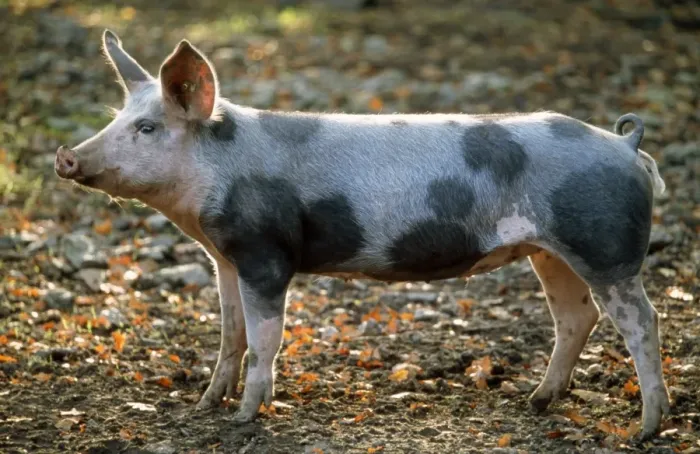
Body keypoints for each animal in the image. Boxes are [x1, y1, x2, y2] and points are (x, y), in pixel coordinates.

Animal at [55, 30, 670, 438]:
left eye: (147, 127)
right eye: (115, 118)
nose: (66, 157)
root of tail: (627, 146)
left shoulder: (265, 253)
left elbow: (264, 339)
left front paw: (245, 418)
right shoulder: (223, 258)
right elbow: (230, 334)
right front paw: (206, 406)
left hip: (605, 247)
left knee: (641, 320)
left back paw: (645, 429)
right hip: (551, 252)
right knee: (576, 317)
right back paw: (537, 404)